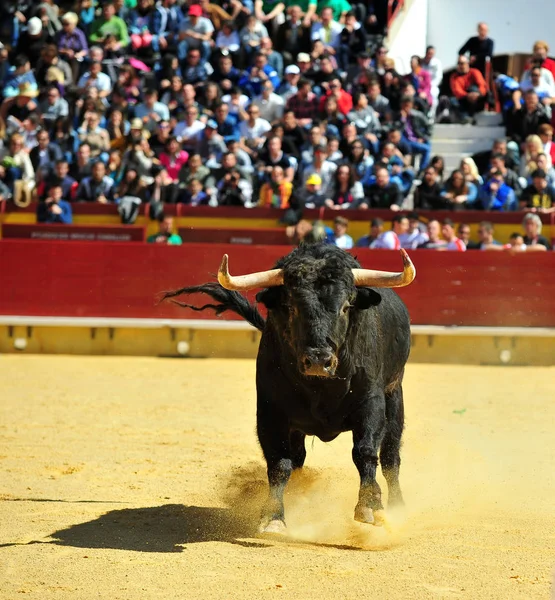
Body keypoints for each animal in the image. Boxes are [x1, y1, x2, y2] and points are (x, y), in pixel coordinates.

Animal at [163, 241, 414, 532]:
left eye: (345, 307)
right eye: (292, 307)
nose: (318, 360)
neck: (320, 388)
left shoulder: (370, 403)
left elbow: (365, 452)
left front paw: (369, 508)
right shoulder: (271, 411)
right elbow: (279, 463)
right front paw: (273, 517)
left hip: (395, 395)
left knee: (390, 457)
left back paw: (397, 507)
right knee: (298, 460)